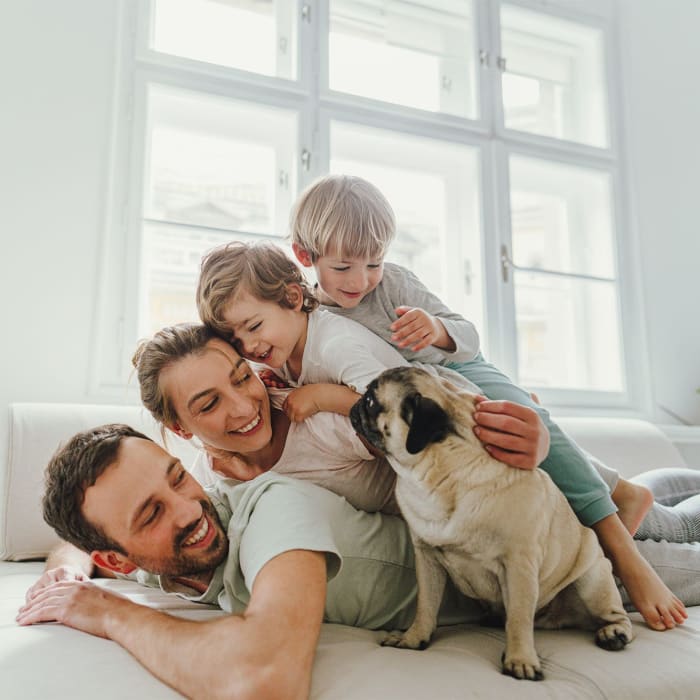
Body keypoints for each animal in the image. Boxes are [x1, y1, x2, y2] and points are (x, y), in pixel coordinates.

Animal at [352, 364, 632, 680]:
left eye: (371, 401)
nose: (356, 401)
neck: (438, 475)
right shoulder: (427, 559)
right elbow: (426, 606)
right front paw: (414, 639)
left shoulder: (519, 564)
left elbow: (519, 618)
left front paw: (521, 660)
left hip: (592, 580)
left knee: (613, 614)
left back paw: (614, 633)